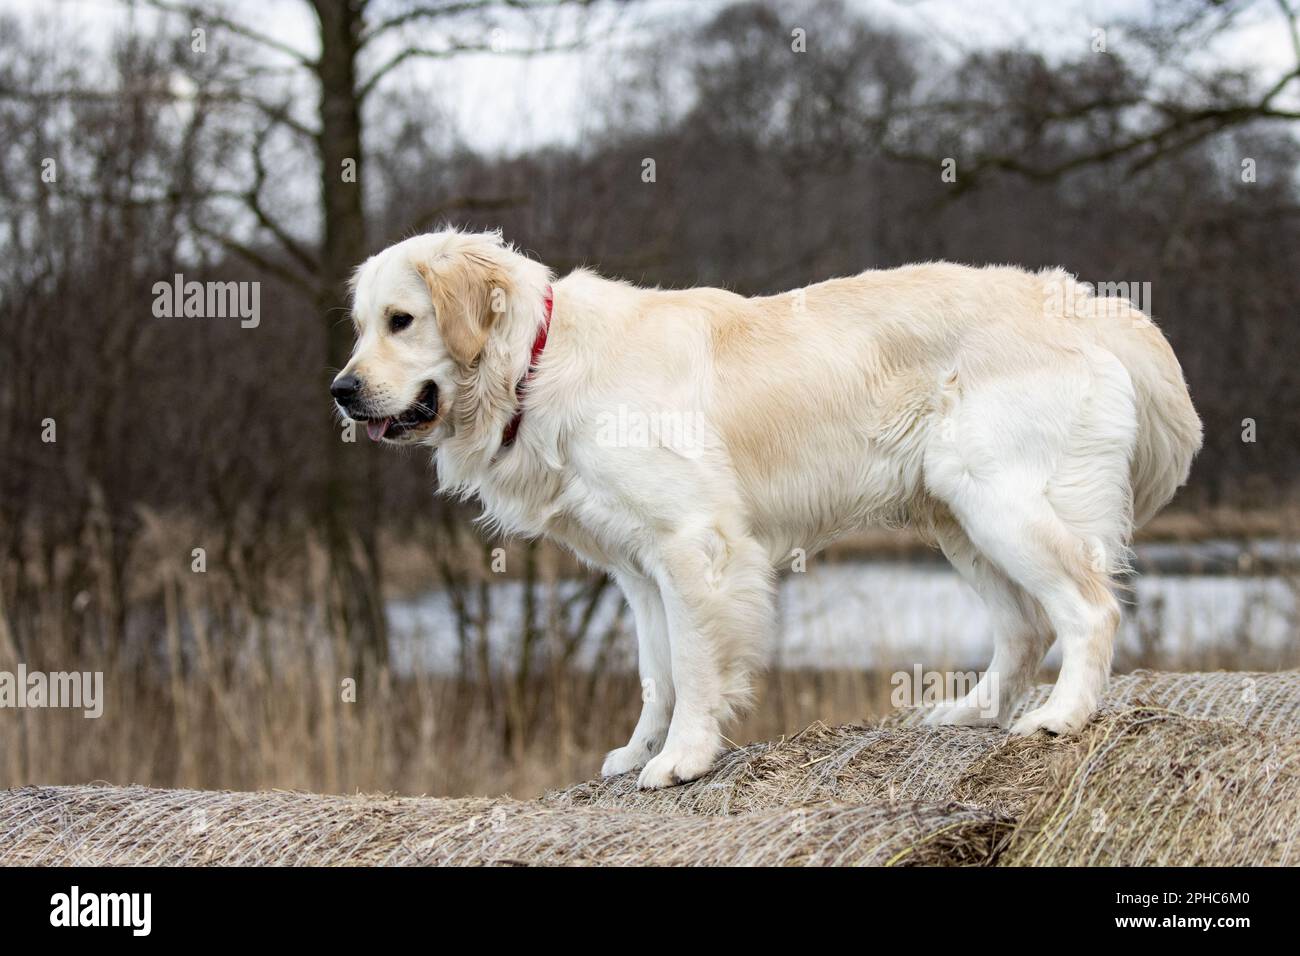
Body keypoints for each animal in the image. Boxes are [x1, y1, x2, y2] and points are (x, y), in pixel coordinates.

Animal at [332, 230, 1196, 790]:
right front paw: (638, 752)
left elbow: (694, 668)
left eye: (402, 320)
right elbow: (655, 673)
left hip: (1000, 500)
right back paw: (971, 713)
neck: (536, 364)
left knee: (1088, 609)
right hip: (956, 514)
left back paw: (1063, 716)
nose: (341, 390)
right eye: (361, 325)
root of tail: (1082, 301)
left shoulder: (694, 546)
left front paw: (682, 760)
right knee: (1023, 628)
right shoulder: (639, 570)